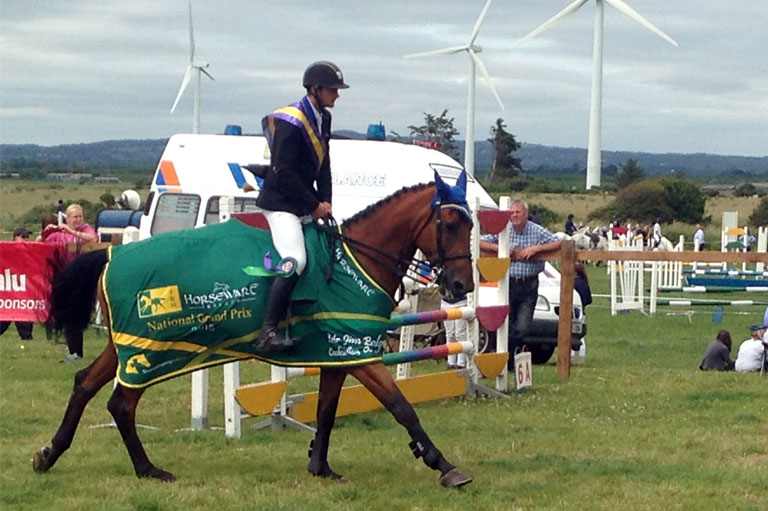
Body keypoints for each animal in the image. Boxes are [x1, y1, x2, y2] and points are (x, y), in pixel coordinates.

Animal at [33, 171, 476, 488]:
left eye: (471, 227)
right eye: (449, 224)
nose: (462, 287)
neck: (354, 259)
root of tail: (111, 253)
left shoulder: (339, 352)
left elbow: (327, 411)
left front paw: (320, 466)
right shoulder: (359, 353)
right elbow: (402, 407)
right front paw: (445, 465)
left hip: (125, 348)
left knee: (85, 383)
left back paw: (50, 454)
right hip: (149, 352)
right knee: (121, 403)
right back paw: (148, 469)